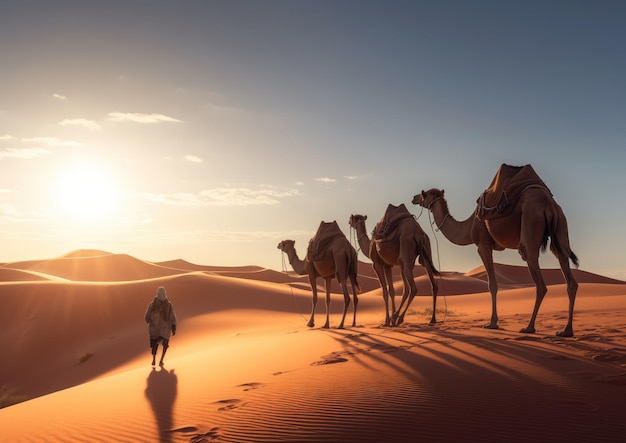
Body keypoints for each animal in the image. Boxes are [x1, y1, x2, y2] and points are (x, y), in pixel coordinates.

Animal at [412, 165, 576, 338]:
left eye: (425, 193)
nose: (414, 197)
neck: (469, 226)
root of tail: (549, 205)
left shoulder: (483, 245)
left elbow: (492, 285)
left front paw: (492, 323)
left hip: (531, 223)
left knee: (539, 280)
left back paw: (529, 327)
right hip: (561, 229)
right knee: (568, 273)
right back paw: (566, 330)